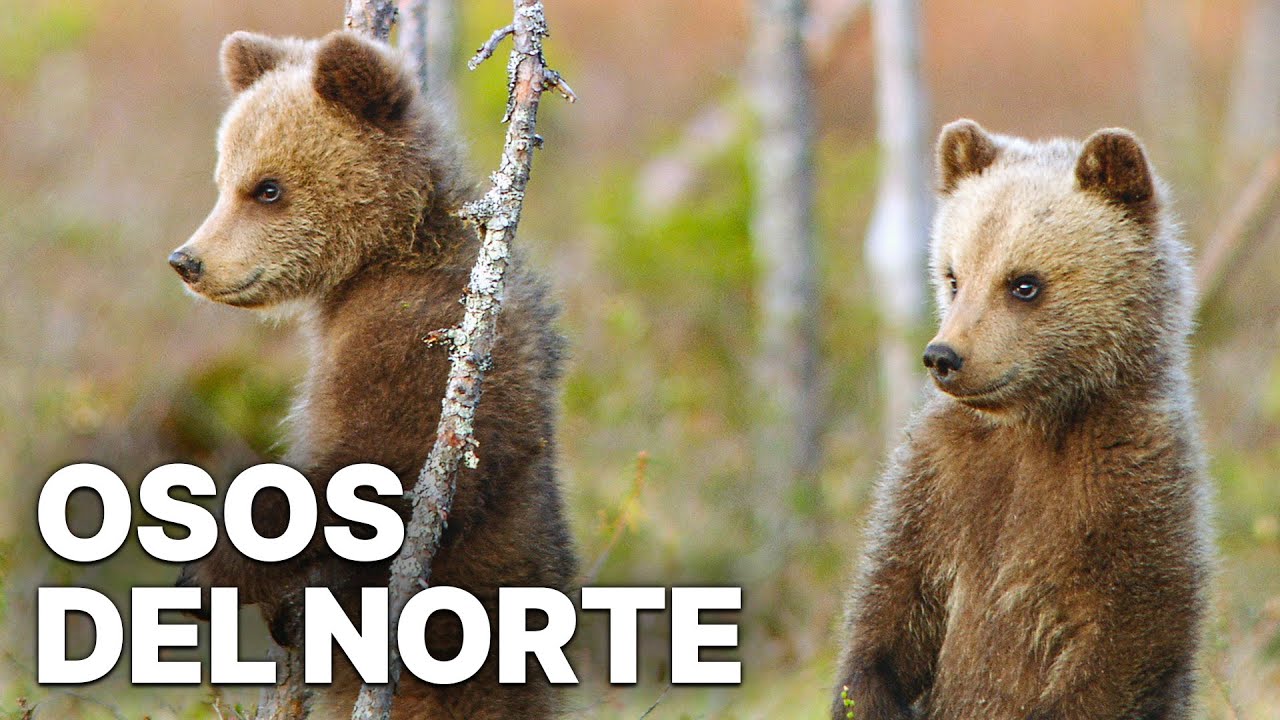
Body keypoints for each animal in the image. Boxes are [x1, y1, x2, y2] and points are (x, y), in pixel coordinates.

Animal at [168, 30, 577, 719]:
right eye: (223, 179)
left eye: (268, 188)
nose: (188, 260)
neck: (387, 253)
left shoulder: (415, 340)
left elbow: (379, 468)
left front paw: (216, 566)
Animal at [831, 120, 1213, 719]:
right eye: (954, 275)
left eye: (1024, 282)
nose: (944, 356)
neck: (1035, 421)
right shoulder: (938, 481)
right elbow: (889, 604)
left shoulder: (1130, 485)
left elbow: (1126, 635)